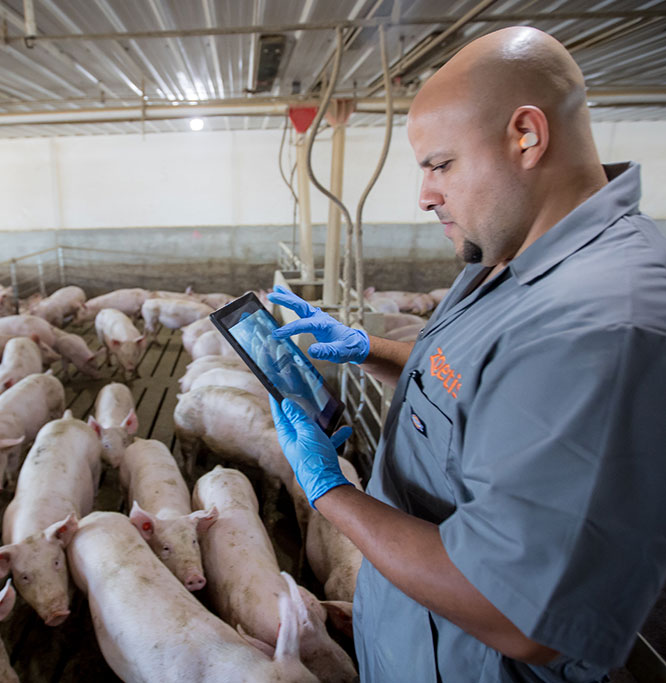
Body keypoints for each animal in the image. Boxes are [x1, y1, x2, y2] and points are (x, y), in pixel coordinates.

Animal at [0, 412, 102, 624]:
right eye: (24, 577)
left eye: (56, 562)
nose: (56, 614)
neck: (33, 532)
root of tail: (68, 419)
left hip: (96, 464)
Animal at [116, 438, 215, 592]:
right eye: (166, 548)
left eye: (194, 541)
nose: (194, 577)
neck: (171, 514)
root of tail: (141, 440)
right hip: (123, 478)